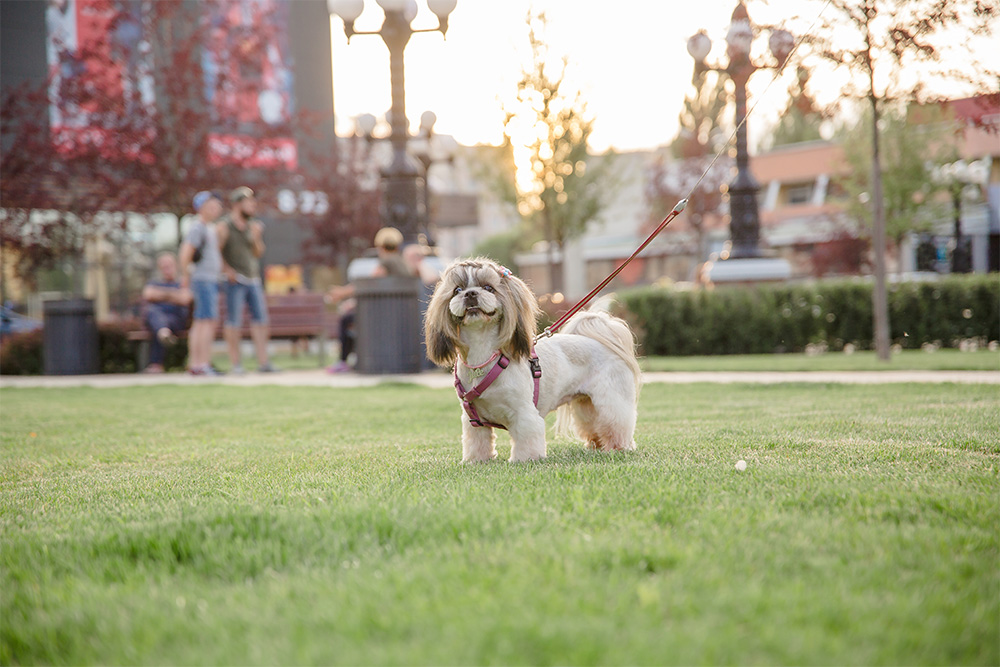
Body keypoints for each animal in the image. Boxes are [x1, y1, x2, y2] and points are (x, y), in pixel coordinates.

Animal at [422, 258, 640, 464]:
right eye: (457, 290)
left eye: (488, 288)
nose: (470, 294)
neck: (483, 355)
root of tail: (603, 342)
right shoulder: (472, 420)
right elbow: (477, 442)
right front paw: (475, 461)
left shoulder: (524, 413)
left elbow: (526, 439)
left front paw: (525, 460)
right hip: (585, 404)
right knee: (593, 424)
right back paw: (597, 445)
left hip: (610, 398)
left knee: (616, 420)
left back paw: (618, 447)